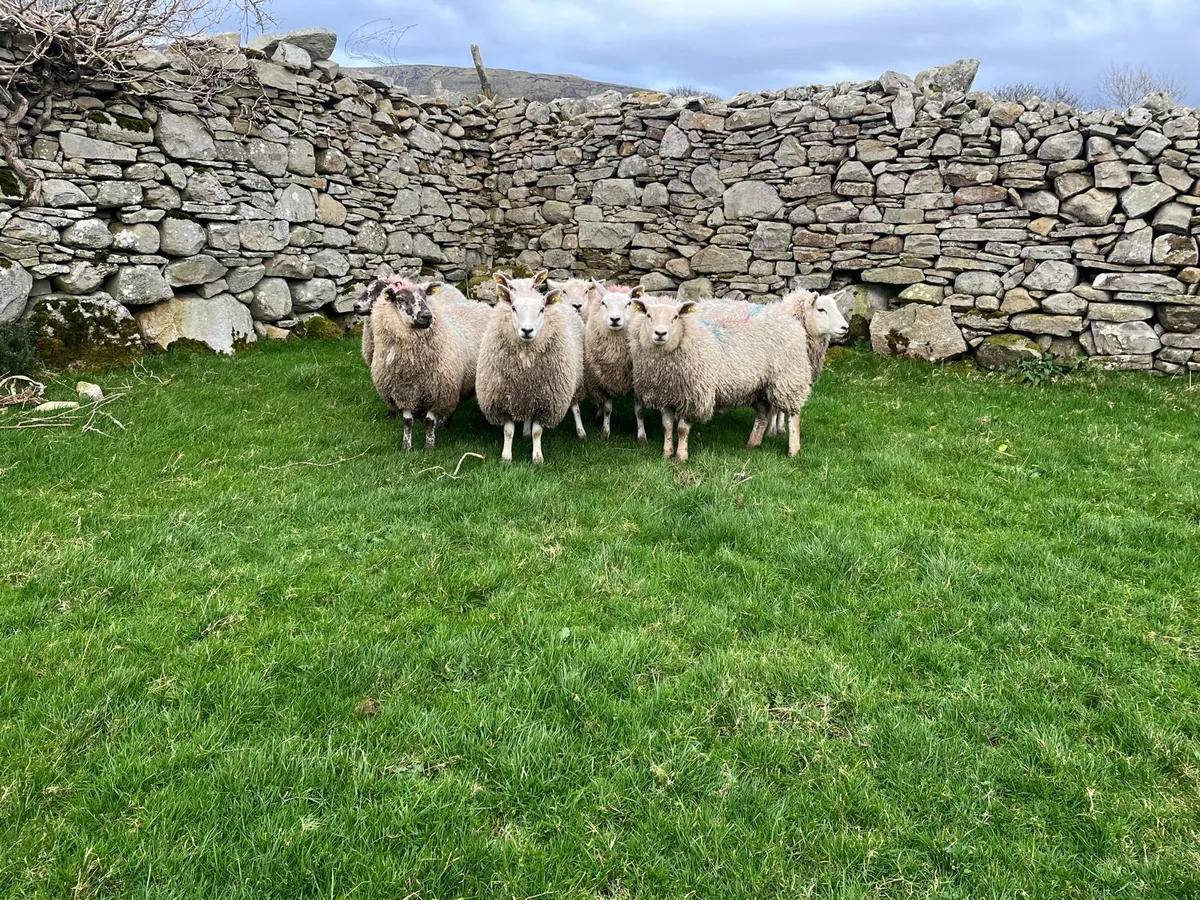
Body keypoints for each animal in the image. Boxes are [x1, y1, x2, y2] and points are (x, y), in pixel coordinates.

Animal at [354, 273, 491, 451]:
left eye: (425, 297)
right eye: (400, 299)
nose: (426, 316)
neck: (412, 365)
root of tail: (480, 304)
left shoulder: (438, 390)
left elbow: (429, 421)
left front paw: (429, 447)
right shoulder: (401, 390)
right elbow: (407, 421)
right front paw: (406, 446)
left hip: (455, 383)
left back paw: (445, 423)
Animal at [475, 271, 586, 464]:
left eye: (541, 310)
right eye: (513, 308)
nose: (527, 330)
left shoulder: (547, 401)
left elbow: (537, 431)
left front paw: (537, 457)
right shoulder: (503, 399)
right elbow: (508, 431)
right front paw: (506, 456)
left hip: (575, 379)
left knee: (575, 407)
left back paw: (580, 431)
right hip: (527, 395)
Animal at [584, 283, 647, 442]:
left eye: (628, 304)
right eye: (604, 303)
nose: (615, 319)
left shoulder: (637, 382)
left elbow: (639, 411)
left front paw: (641, 436)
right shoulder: (604, 380)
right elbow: (607, 408)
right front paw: (605, 431)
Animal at [630, 291, 824, 460]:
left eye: (676, 317)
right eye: (648, 315)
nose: (660, 333)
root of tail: (792, 324)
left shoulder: (694, 397)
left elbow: (682, 429)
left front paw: (681, 457)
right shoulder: (666, 396)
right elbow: (667, 427)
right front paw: (666, 454)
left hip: (788, 379)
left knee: (794, 415)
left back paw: (793, 450)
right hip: (758, 387)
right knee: (763, 415)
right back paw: (753, 443)